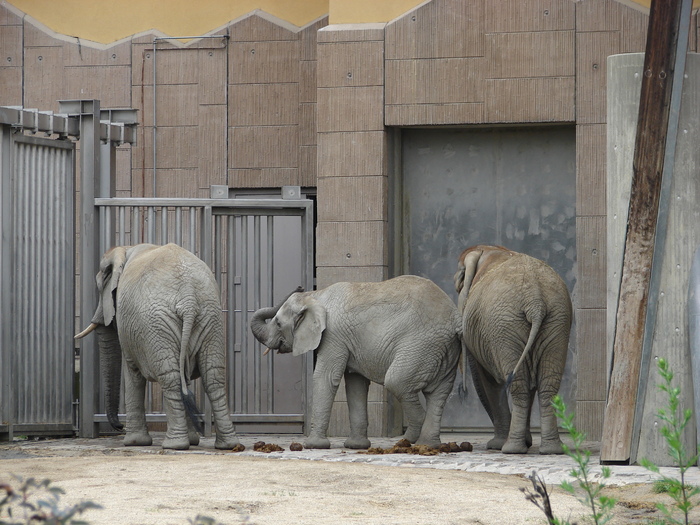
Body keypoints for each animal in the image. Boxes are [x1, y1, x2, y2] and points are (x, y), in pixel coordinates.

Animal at [73, 243, 238, 450]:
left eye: (100, 287)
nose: (119, 427)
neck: (125, 250)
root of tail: (188, 298)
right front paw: (192, 440)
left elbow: (132, 373)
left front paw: (134, 442)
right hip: (211, 318)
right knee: (213, 377)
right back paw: (227, 444)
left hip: (156, 324)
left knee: (171, 377)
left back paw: (174, 444)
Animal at [249, 274, 462, 450]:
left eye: (278, 323)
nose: (300, 285)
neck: (315, 296)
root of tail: (455, 317)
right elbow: (355, 383)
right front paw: (355, 446)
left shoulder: (333, 335)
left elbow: (326, 377)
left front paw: (313, 445)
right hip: (444, 349)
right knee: (439, 392)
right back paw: (428, 445)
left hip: (420, 344)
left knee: (397, 382)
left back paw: (409, 439)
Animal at [454, 244, 576, 452]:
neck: (488, 249)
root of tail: (536, 301)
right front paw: (526, 442)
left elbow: (490, 381)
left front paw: (497, 445)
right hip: (557, 318)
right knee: (546, 384)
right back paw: (551, 449)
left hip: (505, 326)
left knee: (518, 384)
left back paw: (511, 448)